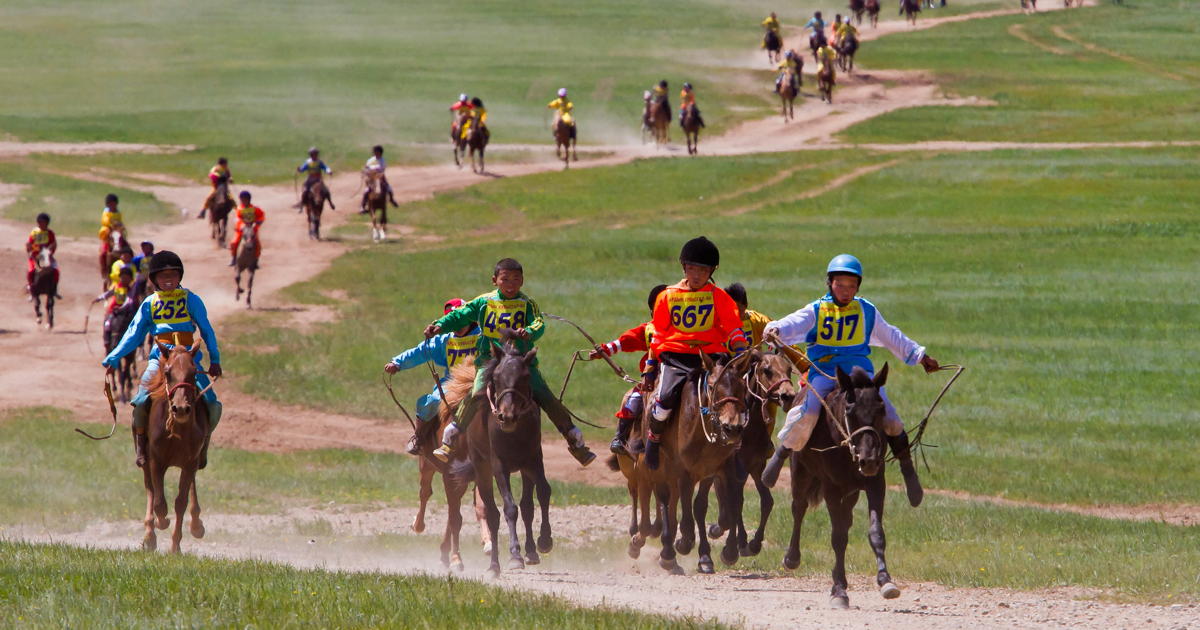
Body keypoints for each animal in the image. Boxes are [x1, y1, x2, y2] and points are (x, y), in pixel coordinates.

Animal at [142, 336, 211, 552]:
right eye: (167, 372)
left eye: (193, 373)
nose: (180, 408)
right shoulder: (156, 461)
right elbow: (159, 502)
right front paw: (160, 522)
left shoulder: (190, 462)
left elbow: (180, 501)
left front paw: (175, 546)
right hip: (145, 459)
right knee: (150, 489)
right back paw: (149, 534)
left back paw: (197, 525)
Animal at [408, 360, 492, 566]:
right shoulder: (449, 475)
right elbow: (456, 518)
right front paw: (456, 559)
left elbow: (480, 509)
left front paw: (488, 543)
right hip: (427, 465)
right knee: (425, 493)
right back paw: (418, 525)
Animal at [465, 333, 554, 573]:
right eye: (496, 377)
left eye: (525, 377)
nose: (507, 416)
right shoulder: (499, 466)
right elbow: (510, 508)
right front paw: (515, 555)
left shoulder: (533, 459)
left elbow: (542, 493)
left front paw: (544, 540)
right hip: (482, 467)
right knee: (493, 513)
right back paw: (494, 565)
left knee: (527, 506)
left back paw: (531, 551)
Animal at [628, 350, 748, 571]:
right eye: (712, 386)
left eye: (742, 387)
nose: (732, 428)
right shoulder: (684, 471)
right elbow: (685, 511)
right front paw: (684, 542)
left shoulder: (716, 469)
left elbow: (714, 508)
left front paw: (722, 552)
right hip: (656, 466)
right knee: (661, 498)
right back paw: (662, 548)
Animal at [777, 364, 902, 607]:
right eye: (850, 411)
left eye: (881, 410)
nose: (869, 460)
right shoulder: (831, 488)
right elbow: (838, 537)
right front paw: (839, 591)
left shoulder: (875, 484)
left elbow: (875, 532)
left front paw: (885, 580)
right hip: (800, 473)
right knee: (799, 508)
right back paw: (792, 557)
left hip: (851, 491)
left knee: (846, 517)